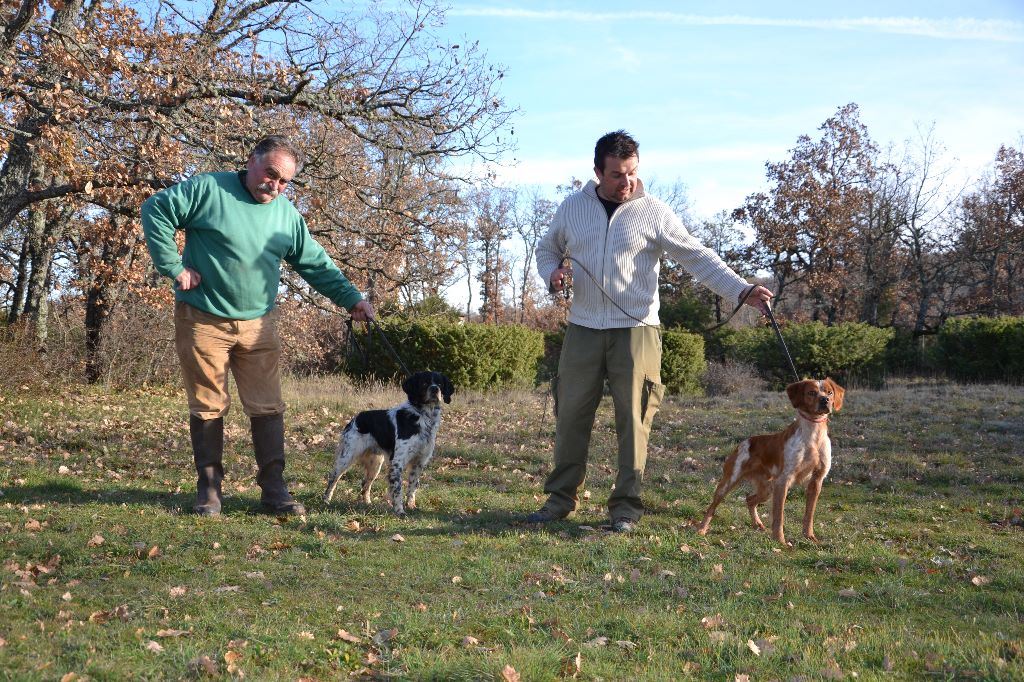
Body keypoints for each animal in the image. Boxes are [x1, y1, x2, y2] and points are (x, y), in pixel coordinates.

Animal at [323, 368, 452, 512]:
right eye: (425, 383)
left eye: (440, 384)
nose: (435, 389)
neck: (424, 417)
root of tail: (355, 418)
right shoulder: (397, 461)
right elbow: (397, 489)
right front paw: (399, 510)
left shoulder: (419, 462)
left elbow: (412, 487)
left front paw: (411, 506)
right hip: (346, 458)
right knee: (333, 479)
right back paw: (326, 500)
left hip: (375, 463)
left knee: (365, 484)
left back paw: (367, 503)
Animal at [696, 374, 847, 544]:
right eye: (812, 393)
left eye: (829, 392)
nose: (824, 400)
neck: (813, 436)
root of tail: (744, 442)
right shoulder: (783, 480)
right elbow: (779, 516)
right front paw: (780, 541)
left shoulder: (817, 480)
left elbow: (809, 515)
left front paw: (809, 537)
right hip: (730, 482)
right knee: (712, 507)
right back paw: (702, 529)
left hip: (767, 489)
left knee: (749, 499)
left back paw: (757, 524)